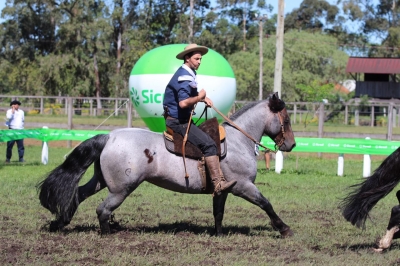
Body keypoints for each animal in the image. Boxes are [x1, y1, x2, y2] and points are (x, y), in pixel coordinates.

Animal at [39, 92, 296, 237]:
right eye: (286, 119)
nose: (291, 144)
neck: (236, 142)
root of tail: (109, 137)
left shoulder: (222, 190)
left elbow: (218, 213)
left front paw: (219, 234)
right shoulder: (243, 186)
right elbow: (266, 204)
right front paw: (283, 228)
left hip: (101, 181)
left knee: (78, 195)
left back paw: (60, 222)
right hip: (121, 189)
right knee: (102, 209)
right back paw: (106, 233)